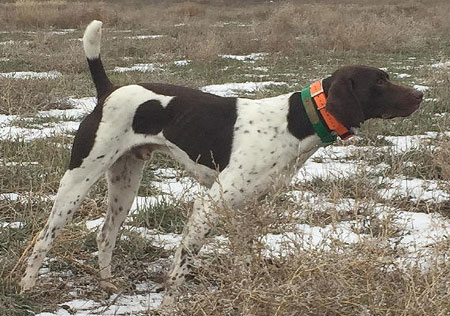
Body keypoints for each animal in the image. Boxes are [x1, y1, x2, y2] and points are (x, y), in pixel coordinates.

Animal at [19, 20, 424, 306]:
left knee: (105, 234)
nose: (421, 94)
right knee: (44, 238)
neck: (293, 122)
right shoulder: (209, 205)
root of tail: (109, 91)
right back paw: (26, 287)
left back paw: (106, 285)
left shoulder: (248, 210)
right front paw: (168, 306)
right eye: (380, 83)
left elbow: (242, 263)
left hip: (125, 182)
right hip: (78, 180)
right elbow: (180, 269)